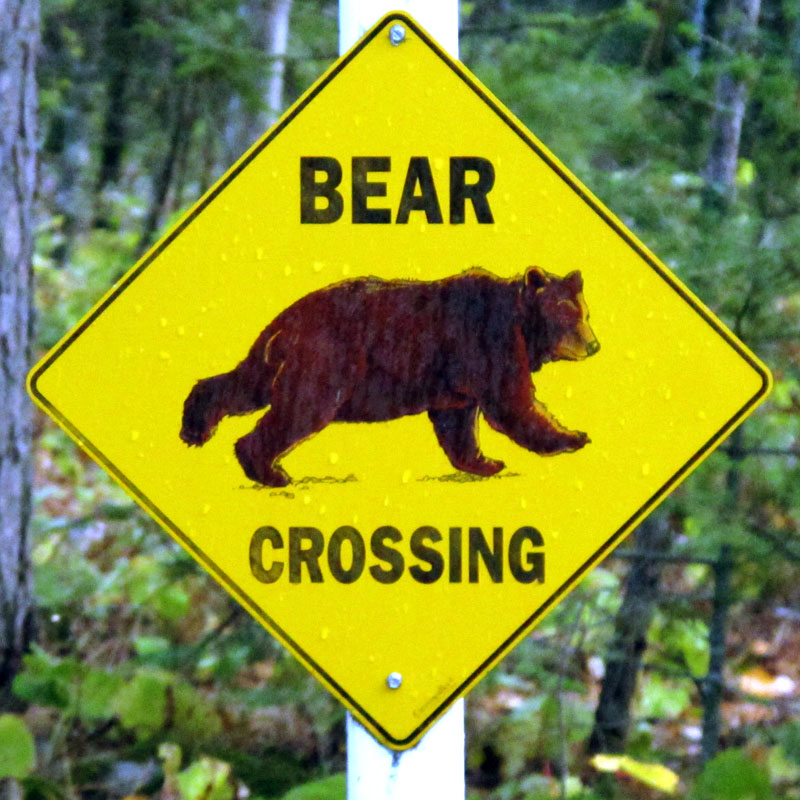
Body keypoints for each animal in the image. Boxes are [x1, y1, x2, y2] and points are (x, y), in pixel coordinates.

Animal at [180, 266, 600, 487]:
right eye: (567, 312)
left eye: (585, 312)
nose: (594, 345)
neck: (520, 324)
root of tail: (287, 317)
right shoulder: (487, 344)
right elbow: (513, 403)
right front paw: (572, 436)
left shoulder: (457, 377)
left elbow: (458, 423)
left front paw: (485, 462)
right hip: (328, 361)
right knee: (299, 410)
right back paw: (269, 469)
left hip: (279, 359)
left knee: (242, 384)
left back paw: (195, 428)